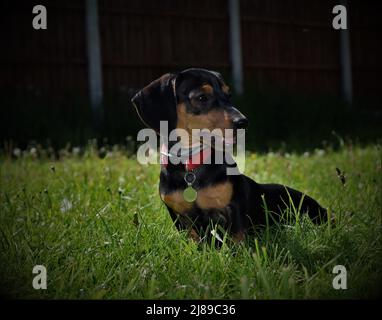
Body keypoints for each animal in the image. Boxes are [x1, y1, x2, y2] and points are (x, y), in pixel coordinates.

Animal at [131, 67, 326, 242]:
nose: (243, 122)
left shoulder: (233, 207)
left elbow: (237, 238)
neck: (190, 165)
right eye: (202, 97)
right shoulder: (180, 217)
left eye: (229, 95)